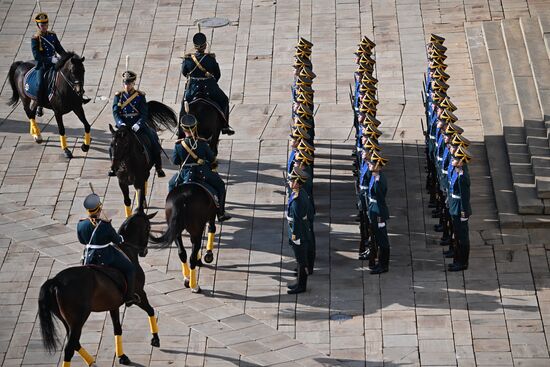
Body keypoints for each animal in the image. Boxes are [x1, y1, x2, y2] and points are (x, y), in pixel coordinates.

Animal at [38, 211, 160, 366]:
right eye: (148, 228)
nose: (144, 251)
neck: (125, 250)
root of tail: (56, 281)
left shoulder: (113, 305)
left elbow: (117, 328)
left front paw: (122, 356)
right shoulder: (140, 293)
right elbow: (150, 310)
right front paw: (155, 339)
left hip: (66, 321)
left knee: (75, 343)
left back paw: (92, 362)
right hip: (78, 320)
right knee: (70, 348)